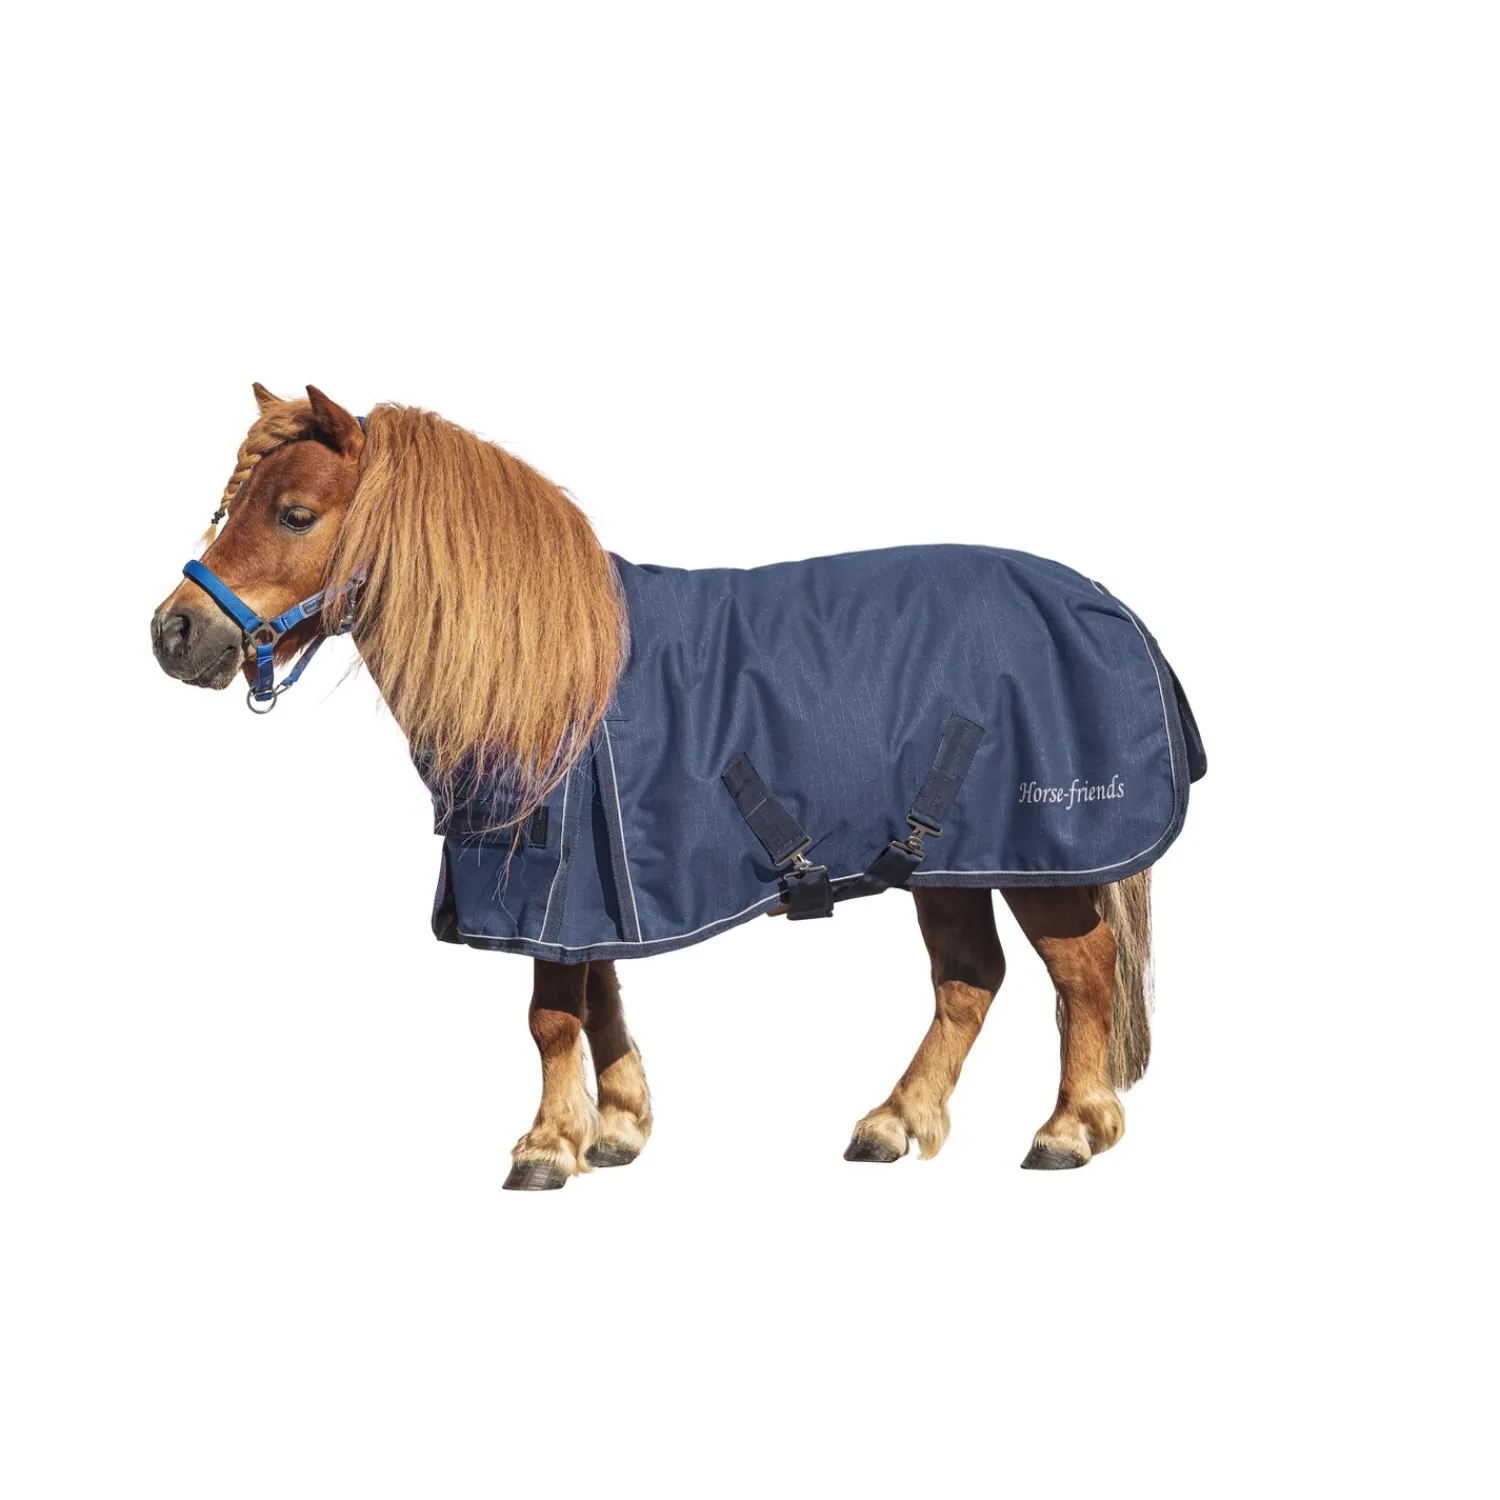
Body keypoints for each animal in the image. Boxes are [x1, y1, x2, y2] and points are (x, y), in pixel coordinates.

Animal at [151, 385, 1203, 1190]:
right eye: (231, 504)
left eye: (295, 514)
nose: (174, 633)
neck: (552, 670)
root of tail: (1106, 604)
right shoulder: (596, 892)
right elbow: (602, 998)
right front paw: (615, 1129)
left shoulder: (554, 882)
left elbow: (552, 1015)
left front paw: (547, 1148)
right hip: (943, 863)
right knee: (968, 982)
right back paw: (893, 1122)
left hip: (1038, 855)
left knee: (1084, 974)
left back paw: (1068, 1131)